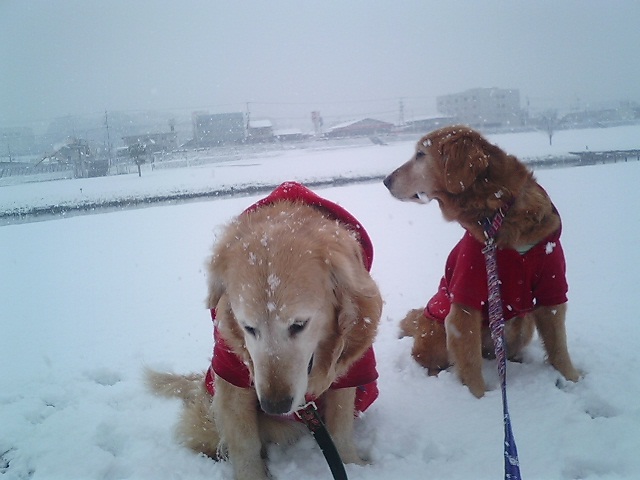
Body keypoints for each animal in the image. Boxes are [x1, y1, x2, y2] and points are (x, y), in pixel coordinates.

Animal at [384, 124, 580, 398]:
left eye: (420, 154)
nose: (386, 180)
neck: (499, 215)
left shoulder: (551, 284)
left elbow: (559, 346)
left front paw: (573, 379)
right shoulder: (466, 297)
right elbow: (468, 360)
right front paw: (480, 399)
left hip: (522, 322)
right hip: (436, 331)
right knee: (430, 358)